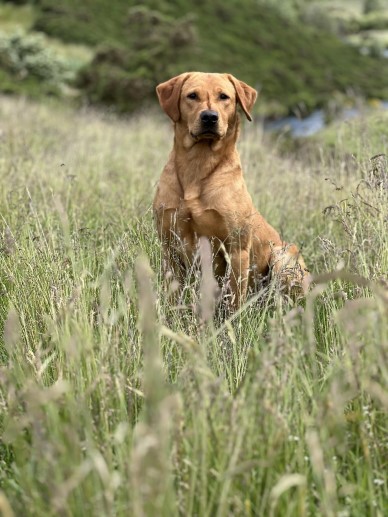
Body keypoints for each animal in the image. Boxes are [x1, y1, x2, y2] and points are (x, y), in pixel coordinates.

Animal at [152, 72, 310, 306]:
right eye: (192, 96)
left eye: (224, 97)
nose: (209, 117)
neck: (198, 164)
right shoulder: (169, 247)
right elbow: (173, 296)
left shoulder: (237, 249)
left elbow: (235, 298)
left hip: (282, 258)